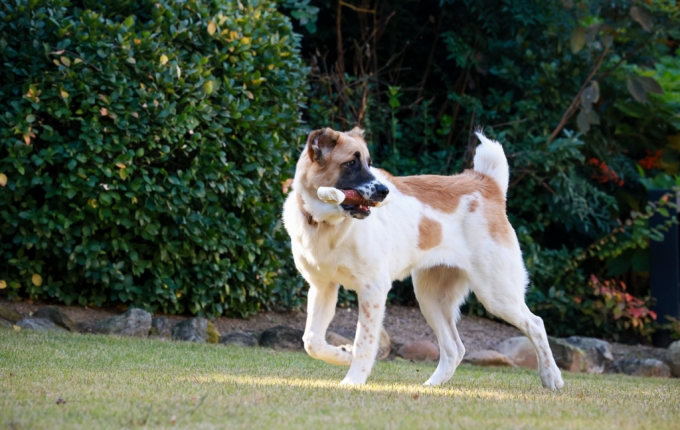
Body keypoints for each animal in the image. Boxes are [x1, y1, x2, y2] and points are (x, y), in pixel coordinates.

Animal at [282, 126, 564, 388]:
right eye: (351, 163)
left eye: (369, 163)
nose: (384, 191)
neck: (326, 225)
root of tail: (486, 183)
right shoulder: (323, 288)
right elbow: (312, 341)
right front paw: (342, 355)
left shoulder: (373, 289)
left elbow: (364, 342)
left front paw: (353, 379)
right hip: (431, 299)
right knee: (455, 348)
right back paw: (432, 385)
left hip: (496, 294)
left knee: (535, 324)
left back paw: (552, 377)